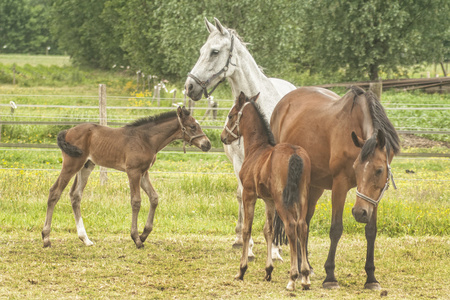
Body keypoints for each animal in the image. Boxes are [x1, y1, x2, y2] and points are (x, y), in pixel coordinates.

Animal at [42, 105, 211, 248]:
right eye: (193, 126)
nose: (207, 144)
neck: (146, 140)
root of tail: (67, 131)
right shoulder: (133, 171)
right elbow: (136, 201)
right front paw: (136, 238)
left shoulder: (143, 173)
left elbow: (154, 198)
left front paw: (144, 234)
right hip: (71, 164)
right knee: (55, 192)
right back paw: (46, 238)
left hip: (86, 166)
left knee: (75, 196)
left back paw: (85, 239)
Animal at [185, 17, 298, 260]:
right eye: (201, 50)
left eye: (215, 52)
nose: (189, 86)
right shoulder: (240, 162)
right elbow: (243, 196)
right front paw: (249, 246)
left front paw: (275, 248)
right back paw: (239, 238)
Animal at [220, 92, 312, 290]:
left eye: (230, 116)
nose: (223, 137)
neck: (257, 149)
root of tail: (295, 154)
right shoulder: (269, 200)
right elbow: (268, 230)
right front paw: (268, 270)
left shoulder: (249, 195)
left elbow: (247, 229)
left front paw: (241, 270)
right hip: (302, 197)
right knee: (302, 226)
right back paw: (305, 277)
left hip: (282, 200)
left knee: (291, 226)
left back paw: (293, 277)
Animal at [270, 85, 400, 290]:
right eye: (356, 168)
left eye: (379, 170)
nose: (359, 212)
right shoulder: (340, 184)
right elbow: (336, 229)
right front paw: (330, 276)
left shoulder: (375, 197)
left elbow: (371, 231)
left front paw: (371, 277)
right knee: (297, 223)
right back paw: (299, 268)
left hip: (314, 187)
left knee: (304, 223)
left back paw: (305, 266)